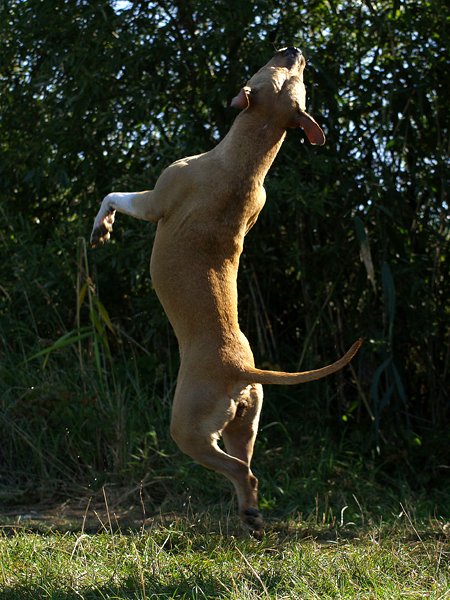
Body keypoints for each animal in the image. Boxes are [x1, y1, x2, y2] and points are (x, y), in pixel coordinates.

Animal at [91, 48, 362, 536]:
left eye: (280, 69)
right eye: (292, 75)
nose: (294, 49)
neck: (245, 159)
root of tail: (240, 370)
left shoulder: (153, 201)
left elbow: (113, 196)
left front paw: (100, 229)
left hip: (189, 430)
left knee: (239, 470)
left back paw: (249, 513)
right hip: (245, 424)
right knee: (247, 467)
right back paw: (250, 516)